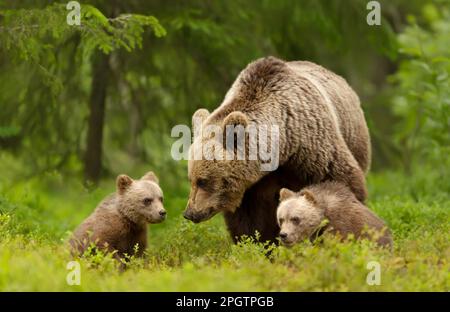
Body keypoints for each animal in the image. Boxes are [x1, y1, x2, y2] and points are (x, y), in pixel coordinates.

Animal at [183, 56, 370, 244]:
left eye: (203, 181)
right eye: (191, 179)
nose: (189, 213)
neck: (283, 148)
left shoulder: (314, 150)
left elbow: (341, 181)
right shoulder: (252, 186)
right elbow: (250, 219)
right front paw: (258, 243)